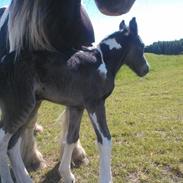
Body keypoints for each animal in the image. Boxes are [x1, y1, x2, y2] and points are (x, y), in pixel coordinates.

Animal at [0, 16, 149, 182]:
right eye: (142, 45)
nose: (146, 69)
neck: (102, 61)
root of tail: (3, 61)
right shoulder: (95, 103)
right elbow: (105, 139)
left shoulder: (77, 107)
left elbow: (71, 137)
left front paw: (66, 174)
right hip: (19, 106)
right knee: (3, 142)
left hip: (30, 106)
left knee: (11, 145)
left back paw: (24, 178)